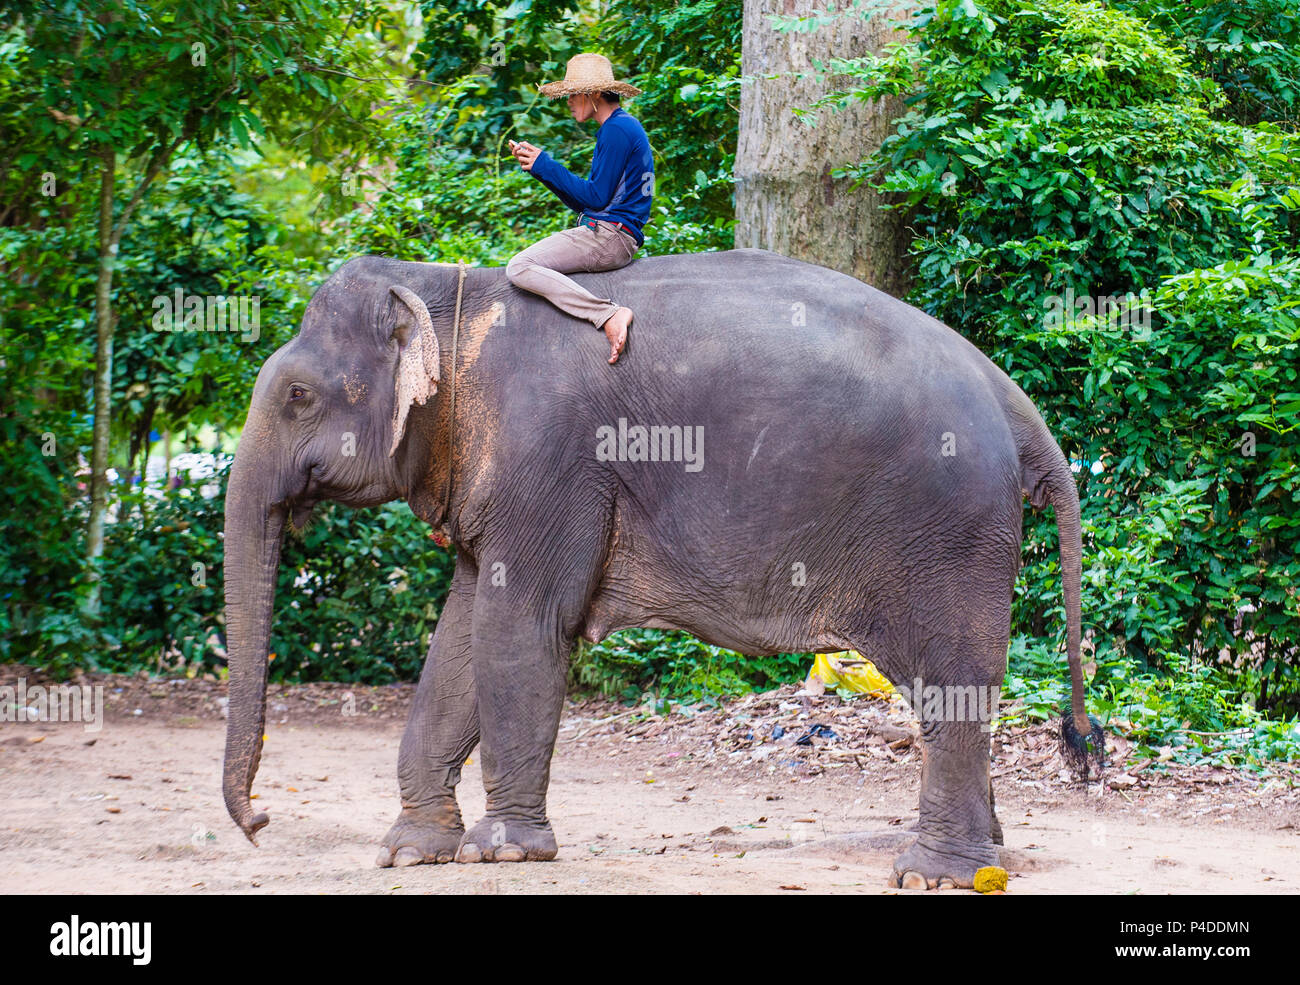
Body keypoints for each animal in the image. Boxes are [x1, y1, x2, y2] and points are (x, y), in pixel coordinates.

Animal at [220, 245, 1097, 888]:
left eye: (298, 396)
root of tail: (1014, 402)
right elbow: (463, 637)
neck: (447, 287)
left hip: (947, 526)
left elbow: (521, 627)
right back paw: (986, 854)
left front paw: (503, 850)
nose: (259, 825)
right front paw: (410, 852)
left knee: (951, 678)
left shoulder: (550, 458)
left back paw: (932, 873)